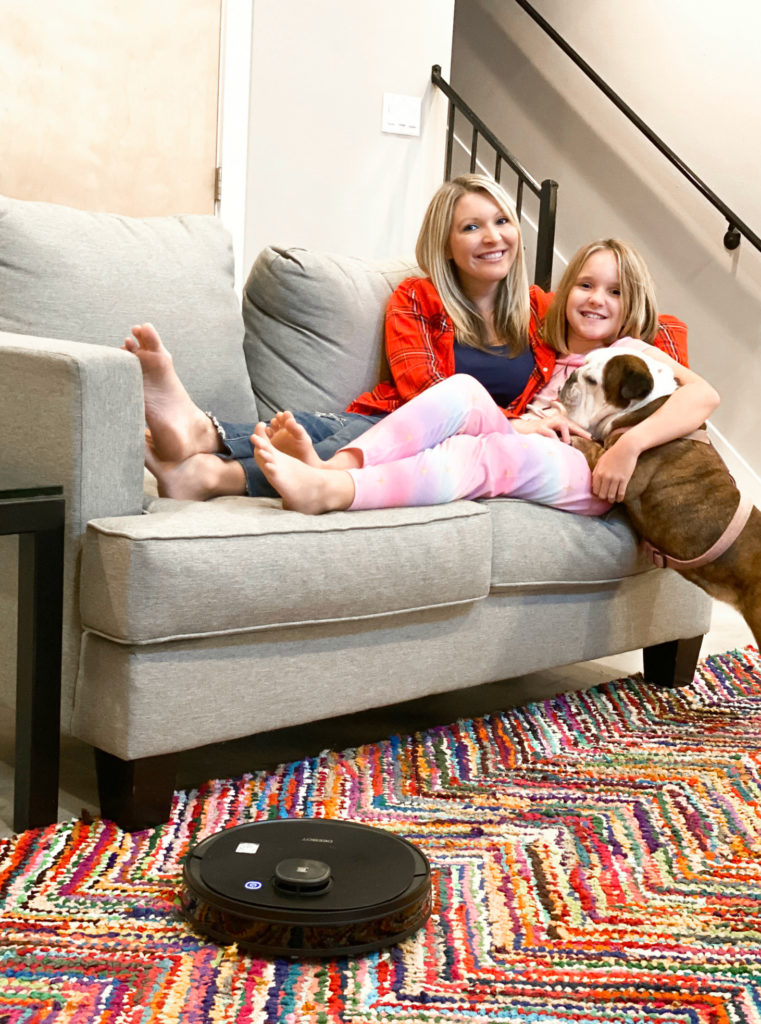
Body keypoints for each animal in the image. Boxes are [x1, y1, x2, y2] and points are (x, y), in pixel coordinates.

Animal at [561, 346, 761, 647]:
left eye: (592, 381)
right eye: (581, 364)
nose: (570, 376)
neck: (645, 406)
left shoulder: (612, 468)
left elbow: (589, 445)